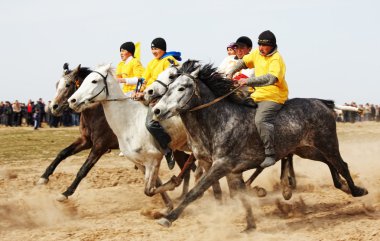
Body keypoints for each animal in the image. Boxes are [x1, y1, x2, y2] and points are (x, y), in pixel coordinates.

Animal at [67, 63, 223, 212]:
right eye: (82, 81)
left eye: (94, 81)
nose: (72, 100)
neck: (129, 122)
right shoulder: (141, 163)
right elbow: (153, 186)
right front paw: (168, 205)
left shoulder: (152, 159)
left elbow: (149, 190)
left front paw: (173, 184)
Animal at [151, 59, 368, 231]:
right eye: (169, 86)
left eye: (181, 87)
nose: (157, 110)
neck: (219, 120)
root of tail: (322, 103)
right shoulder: (228, 170)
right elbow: (237, 196)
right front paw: (250, 226)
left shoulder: (222, 165)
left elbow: (196, 192)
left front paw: (168, 218)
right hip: (306, 150)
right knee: (330, 163)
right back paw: (343, 186)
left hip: (327, 142)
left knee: (342, 164)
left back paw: (357, 191)